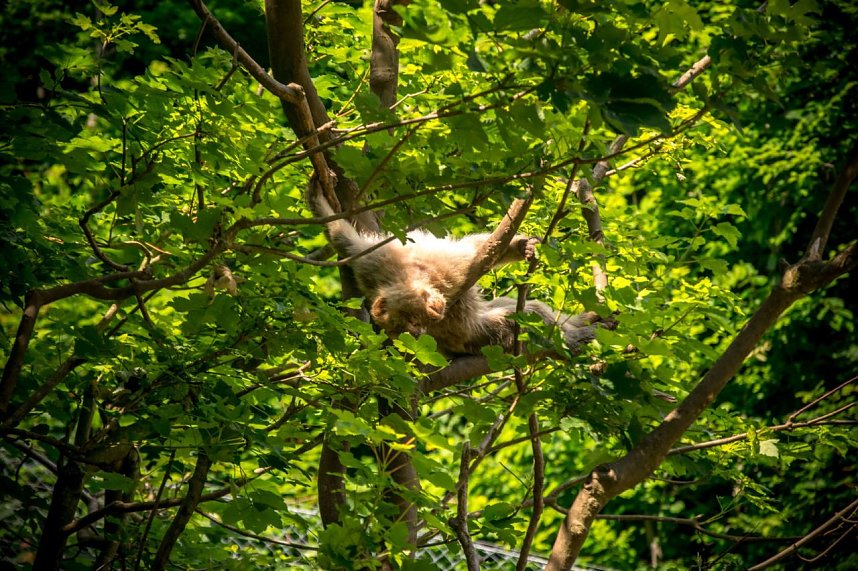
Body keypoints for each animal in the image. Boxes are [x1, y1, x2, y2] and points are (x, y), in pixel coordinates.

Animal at [307, 181, 606, 357]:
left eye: (415, 319)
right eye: (406, 327)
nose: (418, 332)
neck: (410, 274)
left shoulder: (377, 261)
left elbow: (343, 240)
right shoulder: (449, 285)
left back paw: (584, 321)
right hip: (485, 337)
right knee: (520, 316)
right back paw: (576, 336)